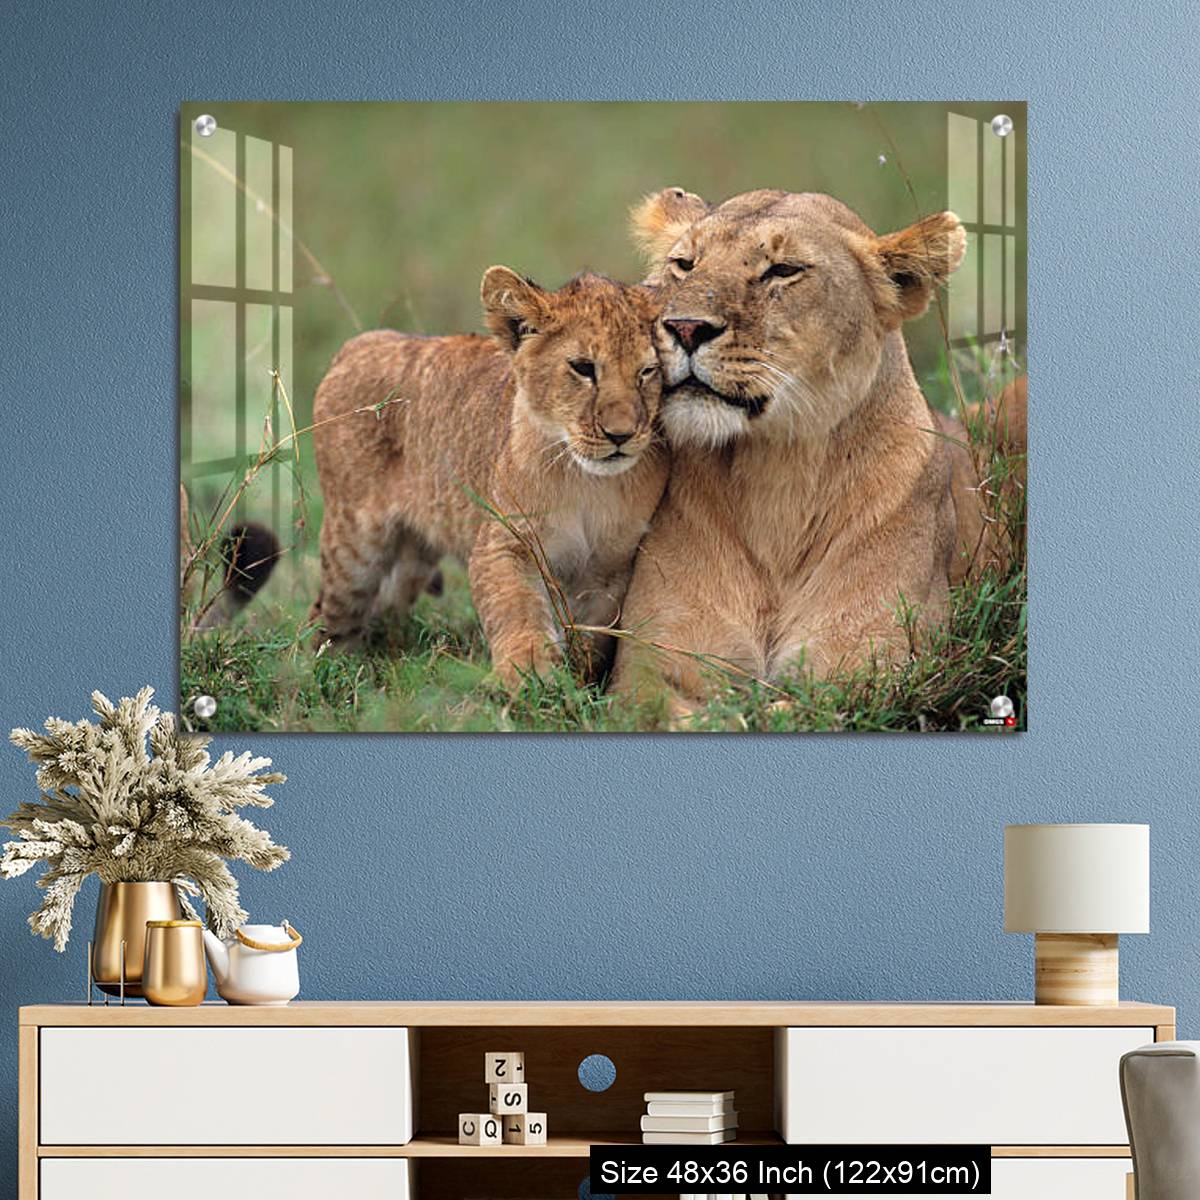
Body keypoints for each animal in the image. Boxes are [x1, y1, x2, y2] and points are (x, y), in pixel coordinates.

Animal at [310, 268, 669, 688]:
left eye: (647, 372)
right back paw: (322, 669)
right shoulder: (505, 542)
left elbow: (591, 636)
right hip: (353, 545)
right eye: (583, 367)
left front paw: (578, 681)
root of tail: (359, 343)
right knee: (328, 613)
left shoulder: (610, 569)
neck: (587, 481)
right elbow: (517, 609)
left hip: (415, 555)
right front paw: (527, 674)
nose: (621, 435)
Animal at [612, 187, 1026, 709]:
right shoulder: (650, 664)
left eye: (783, 270)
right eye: (684, 264)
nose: (685, 327)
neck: (775, 475)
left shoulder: (874, 664)